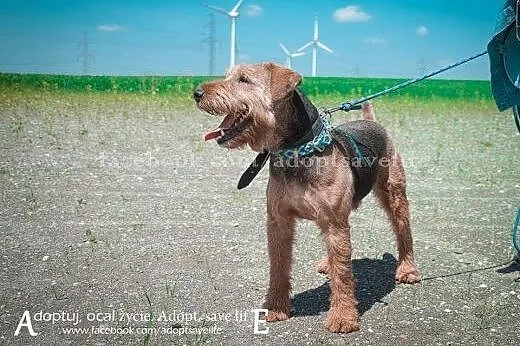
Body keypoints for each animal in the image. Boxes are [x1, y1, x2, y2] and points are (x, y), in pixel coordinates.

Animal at [193, 62, 420, 332]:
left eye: (244, 79)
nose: (197, 93)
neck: (297, 151)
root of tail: (373, 123)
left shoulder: (334, 222)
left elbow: (343, 275)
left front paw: (343, 317)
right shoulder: (278, 220)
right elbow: (279, 267)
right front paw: (276, 308)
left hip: (393, 194)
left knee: (403, 232)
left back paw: (408, 270)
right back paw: (326, 263)